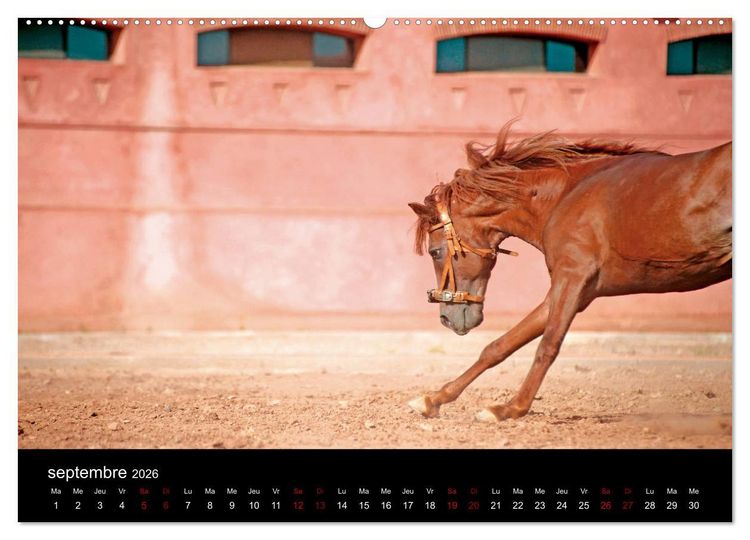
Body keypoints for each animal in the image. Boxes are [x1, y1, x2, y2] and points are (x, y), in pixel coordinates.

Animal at [407, 121, 732, 422]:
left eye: (435, 252)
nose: (447, 318)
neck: (565, 195)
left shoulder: (572, 277)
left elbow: (548, 345)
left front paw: (512, 408)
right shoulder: (573, 288)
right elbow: (500, 346)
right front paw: (433, 399)